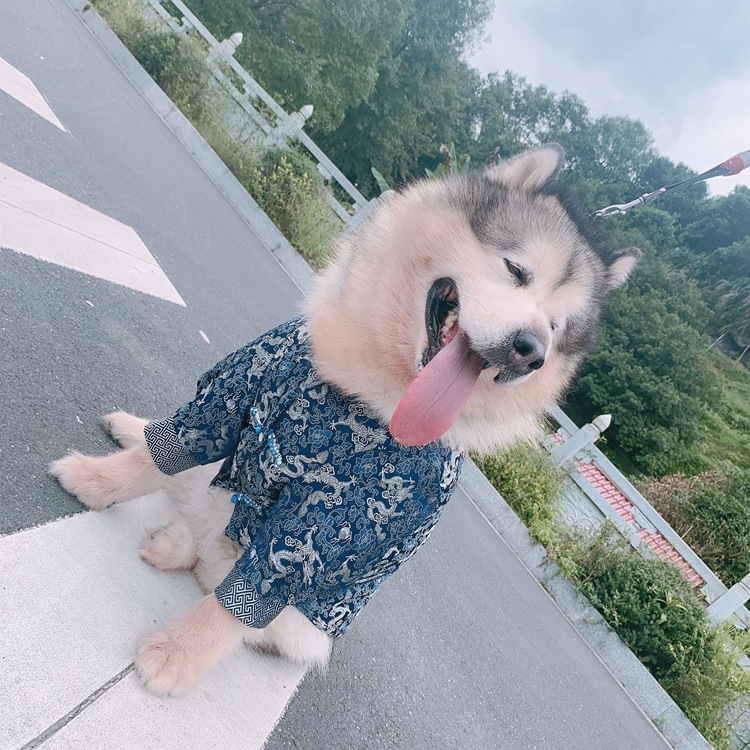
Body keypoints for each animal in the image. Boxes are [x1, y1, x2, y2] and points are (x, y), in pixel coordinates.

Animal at [50, 144, 640, 696]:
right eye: (517, 271)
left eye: (556, 328)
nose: (531, 351)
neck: (361, 392)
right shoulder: (237, 389)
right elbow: (162, 454)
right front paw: (97, 481)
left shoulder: (329, 525)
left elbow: (243, 598)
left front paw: (175, 655)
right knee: (188, 483)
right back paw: (140, 448)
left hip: (294, 618)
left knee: (223, 579)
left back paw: (174, 548)